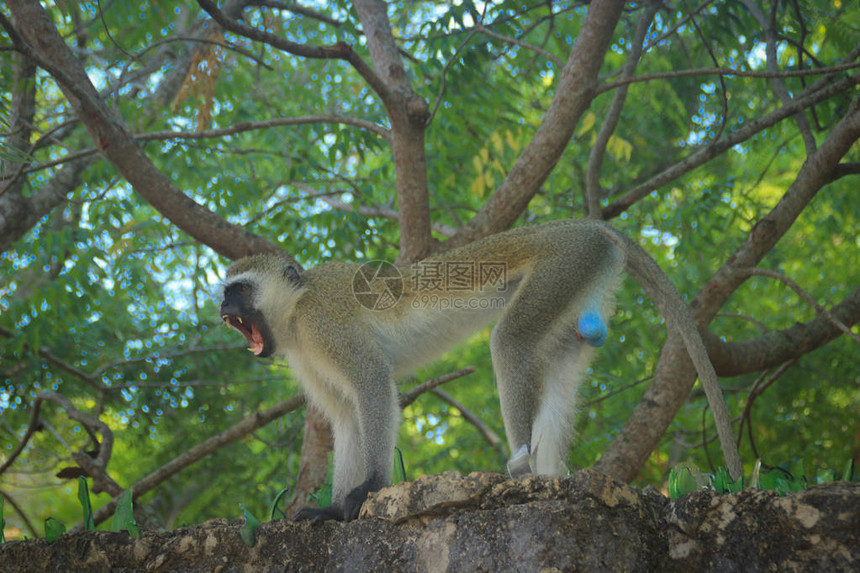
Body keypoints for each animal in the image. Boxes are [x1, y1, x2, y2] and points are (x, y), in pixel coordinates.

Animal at [218, 217, 744, 520]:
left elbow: (372, 385)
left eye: (239, 289)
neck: (294, 313)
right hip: (583, 285)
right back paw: (551, 478)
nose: (222, 308)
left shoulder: (324, 324)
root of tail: (592, 227)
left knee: (510, 342)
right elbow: (348, 418)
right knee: (559, 363)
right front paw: (330, 509)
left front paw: (367, 491)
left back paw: (524, 476)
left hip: (565, 262)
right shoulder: (304, 354)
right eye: (227, 292)